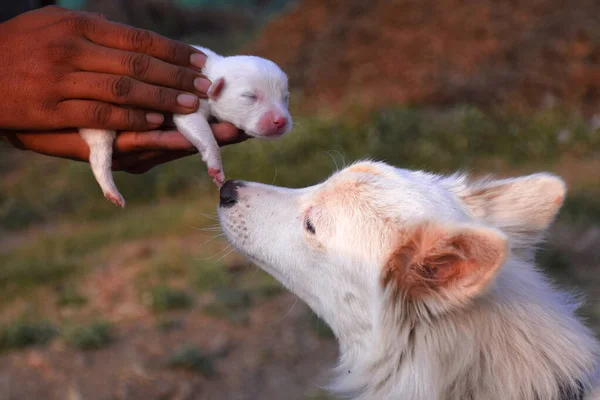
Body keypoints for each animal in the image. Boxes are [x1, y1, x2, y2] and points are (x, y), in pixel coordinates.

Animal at [81, 47, 292, 208]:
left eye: (285, 97)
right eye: (249, 96)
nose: (281, 121)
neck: (210, 74)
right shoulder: (189, 102)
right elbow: (200, 130)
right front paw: (216, 168)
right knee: (99, 156)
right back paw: (112, 191)